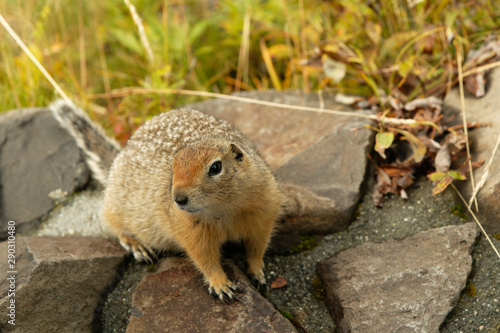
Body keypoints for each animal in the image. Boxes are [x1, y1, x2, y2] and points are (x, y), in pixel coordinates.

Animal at [97, 107, 284, 300]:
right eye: (173, 168)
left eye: (215, 167)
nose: (178, 198)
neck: (224, 210)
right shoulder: (191, 232)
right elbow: (205, 259)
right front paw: (221, 284)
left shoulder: (264, 216)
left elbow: (257, 249)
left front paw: (257, 273)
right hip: (116, 207)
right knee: (113, 225)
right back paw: (137, 246)